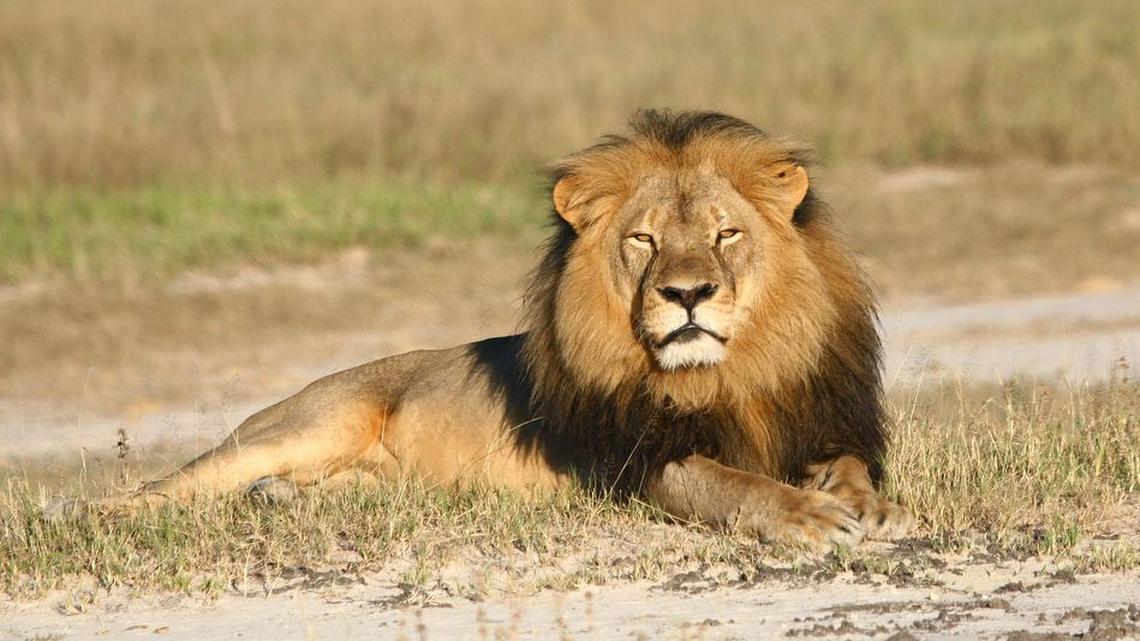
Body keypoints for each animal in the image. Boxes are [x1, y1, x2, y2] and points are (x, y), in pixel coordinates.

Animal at [96, 110, 913, 551]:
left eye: (726, 234)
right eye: (644, 240)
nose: (686, 293)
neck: (728, 373)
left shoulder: (821, 420)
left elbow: (851, 465)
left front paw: (868, 505)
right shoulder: (637, 462)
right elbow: (733, 482)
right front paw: (809, 515)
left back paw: (280, 500)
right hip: (303, 424)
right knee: (169, 487)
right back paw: (98, 516)